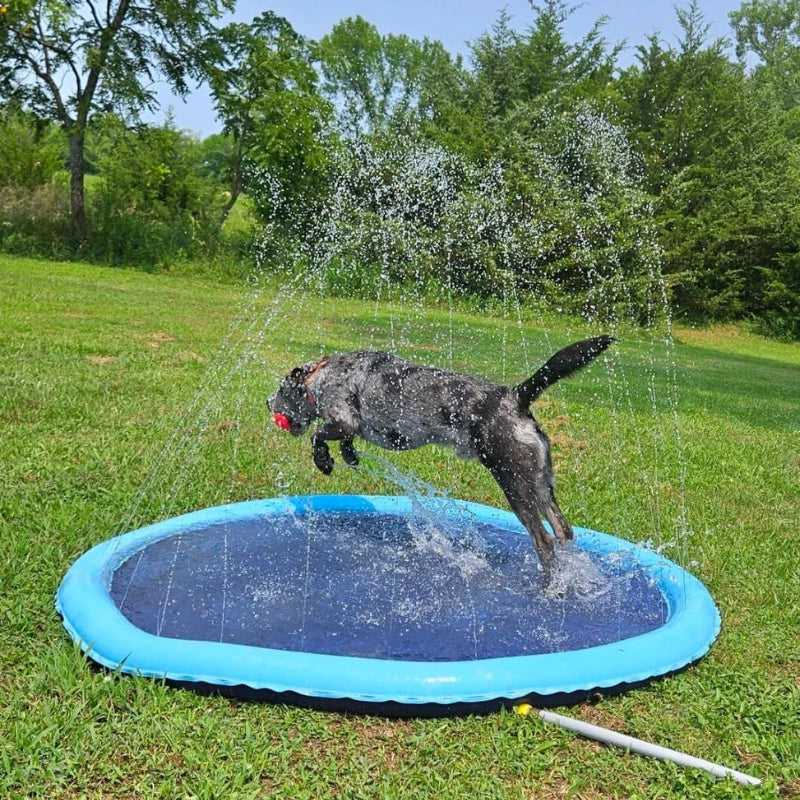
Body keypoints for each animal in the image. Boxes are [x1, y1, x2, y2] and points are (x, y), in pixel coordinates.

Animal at [268, 336, 612, 568]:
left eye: (281, 390)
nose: (267, 404)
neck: (321, 375)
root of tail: (515, 397)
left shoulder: (342, 418)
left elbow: (318, 435)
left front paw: (324, 461)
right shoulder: (349, 427)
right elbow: (344, 441)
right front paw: (349, 456)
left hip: (515, 484)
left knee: (543, 541)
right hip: (540, 483)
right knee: (563, 532)